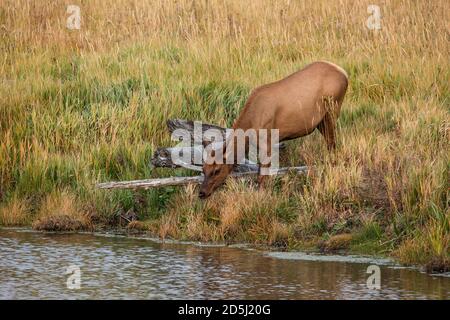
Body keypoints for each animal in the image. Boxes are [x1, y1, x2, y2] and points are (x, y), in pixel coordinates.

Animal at [199, 61, 350, 199]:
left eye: (217, 170)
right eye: (203, 169)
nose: (202, 193)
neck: (251, 125)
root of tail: (345, 74)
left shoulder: (267, 140)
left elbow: (262, 175)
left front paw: (261, 195)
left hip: (332, 109)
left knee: (332, 143)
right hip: (321, 121)